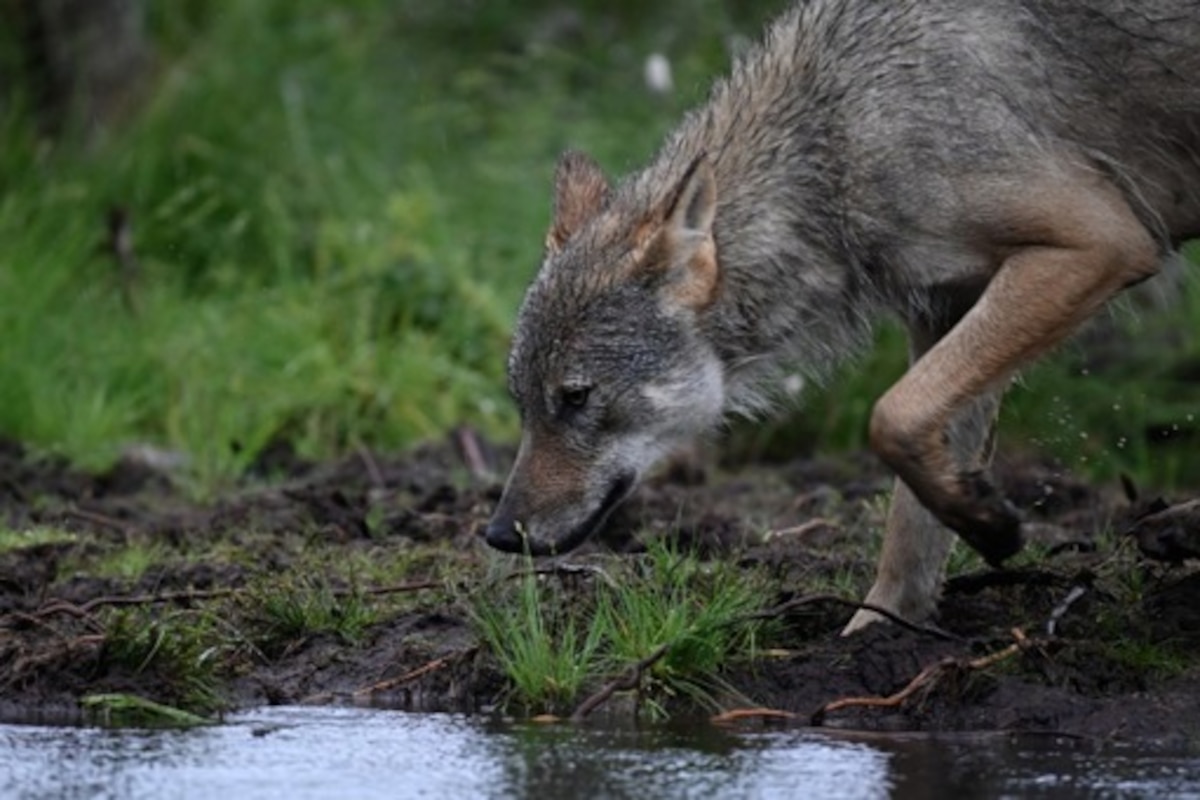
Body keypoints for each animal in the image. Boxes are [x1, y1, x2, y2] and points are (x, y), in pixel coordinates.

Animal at [484, 0, 1200, 633]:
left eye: (576, 398)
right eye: (523, 404)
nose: (496, 534)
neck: (838, 140)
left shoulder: (1101, 245)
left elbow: (891, 416)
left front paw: (992, 527)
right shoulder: (947, 311)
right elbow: (910, 520)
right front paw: (877, 635)